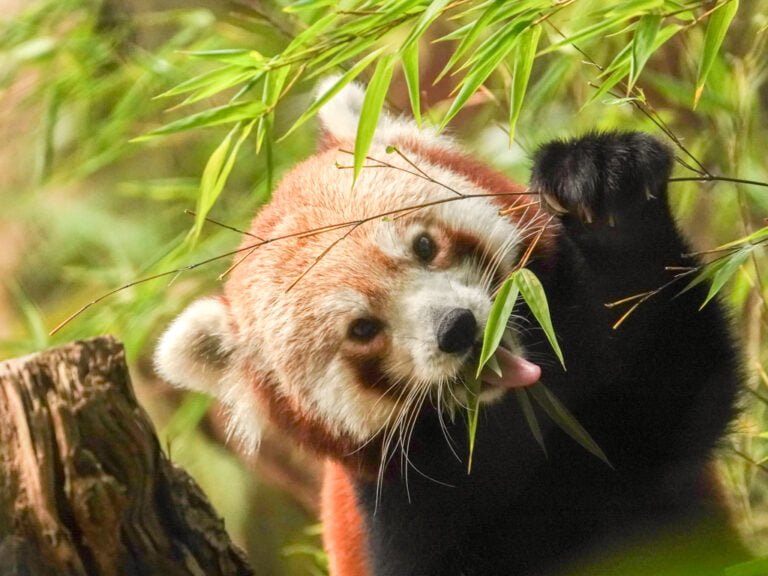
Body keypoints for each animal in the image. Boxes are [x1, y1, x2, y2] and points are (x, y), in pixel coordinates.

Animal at [156, 80, 752, 572]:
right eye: (362, 329)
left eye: (424, 246)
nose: (457, 330)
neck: (514, 417)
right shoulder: (404, 513)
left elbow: (678, 377)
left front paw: (600, 186)